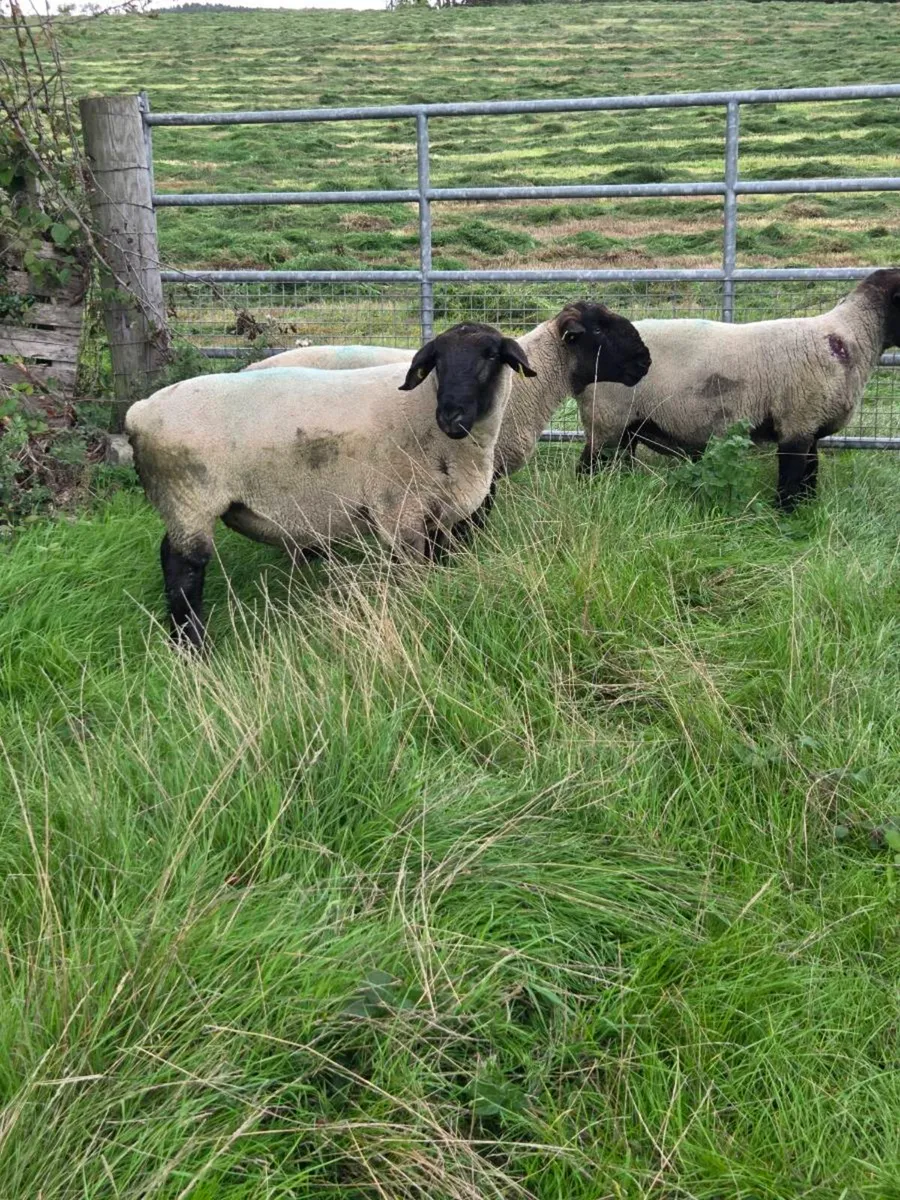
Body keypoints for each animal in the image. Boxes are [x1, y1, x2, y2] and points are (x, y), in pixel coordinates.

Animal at [125, 322, 536, 649]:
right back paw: (194, 649)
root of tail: (138, 412)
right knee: (183, 570)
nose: (450, 416)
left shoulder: (435, 513)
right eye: (437, 360)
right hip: (188, 498)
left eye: (490, 356)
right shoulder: (398, 509)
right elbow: (410, 571)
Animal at [576, 269, 900, 510]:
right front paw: (785, 516)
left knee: (619, 461)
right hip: (606, 417)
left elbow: (811, 472)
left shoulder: (810, 425)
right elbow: (791, 477)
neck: (850, 338)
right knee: (588, 466)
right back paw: (588, 496)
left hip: (625, 425)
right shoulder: (796, 422)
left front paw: (807, 508)